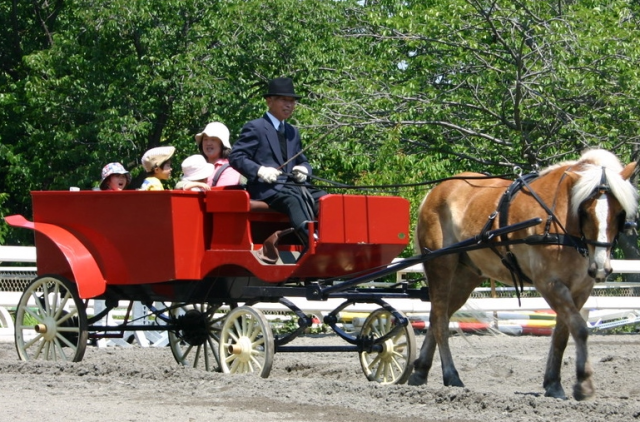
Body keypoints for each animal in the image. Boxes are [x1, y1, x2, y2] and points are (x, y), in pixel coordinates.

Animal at [410, 150, 640, 400]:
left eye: (619, 213)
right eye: (585, 211)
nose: (600, 267)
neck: (560, 221)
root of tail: (436, 191)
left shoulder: (580, 289)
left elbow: (562, 334)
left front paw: (553, 384)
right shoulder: (549, 284)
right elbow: (579, 328)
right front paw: (583, 384)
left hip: (466, 276)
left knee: (436, 316)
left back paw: (420, 371)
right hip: (440, 265)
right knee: (440, 320)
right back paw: (451, 375)